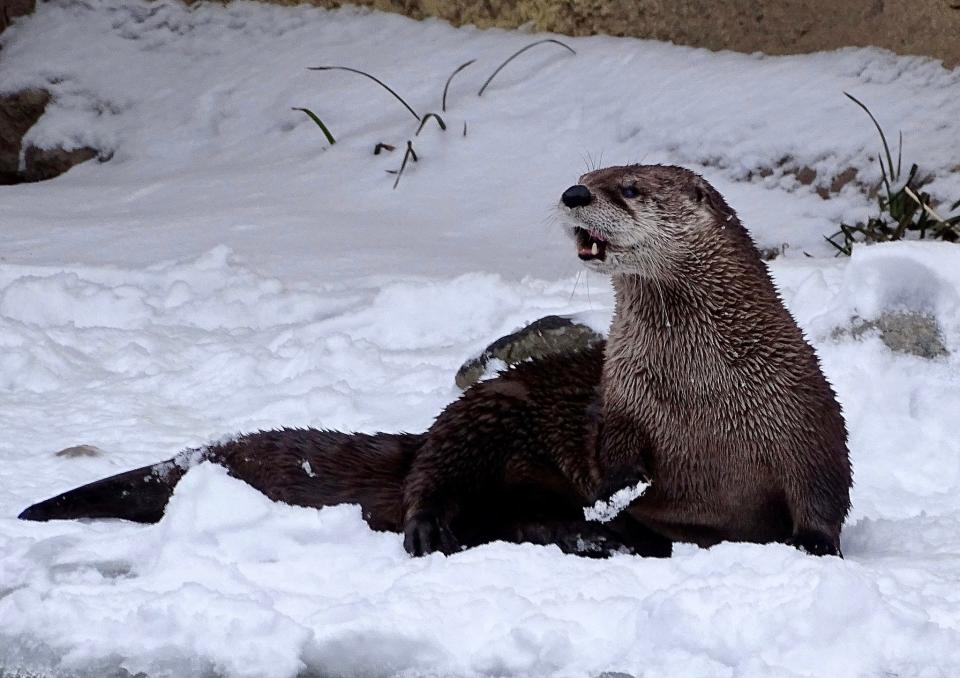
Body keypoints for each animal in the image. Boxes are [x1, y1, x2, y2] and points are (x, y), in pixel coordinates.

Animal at [18, 165, 852, 556]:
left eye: (630, 186)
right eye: (590, 173)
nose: (574, 192)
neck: (702, 395)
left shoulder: (807, 419)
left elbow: (823, 497)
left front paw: (814, 547)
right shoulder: (619, 407)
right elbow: (609, 457)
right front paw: (617, 492)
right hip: (483, 412)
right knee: (439, 481)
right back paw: (454, 532)